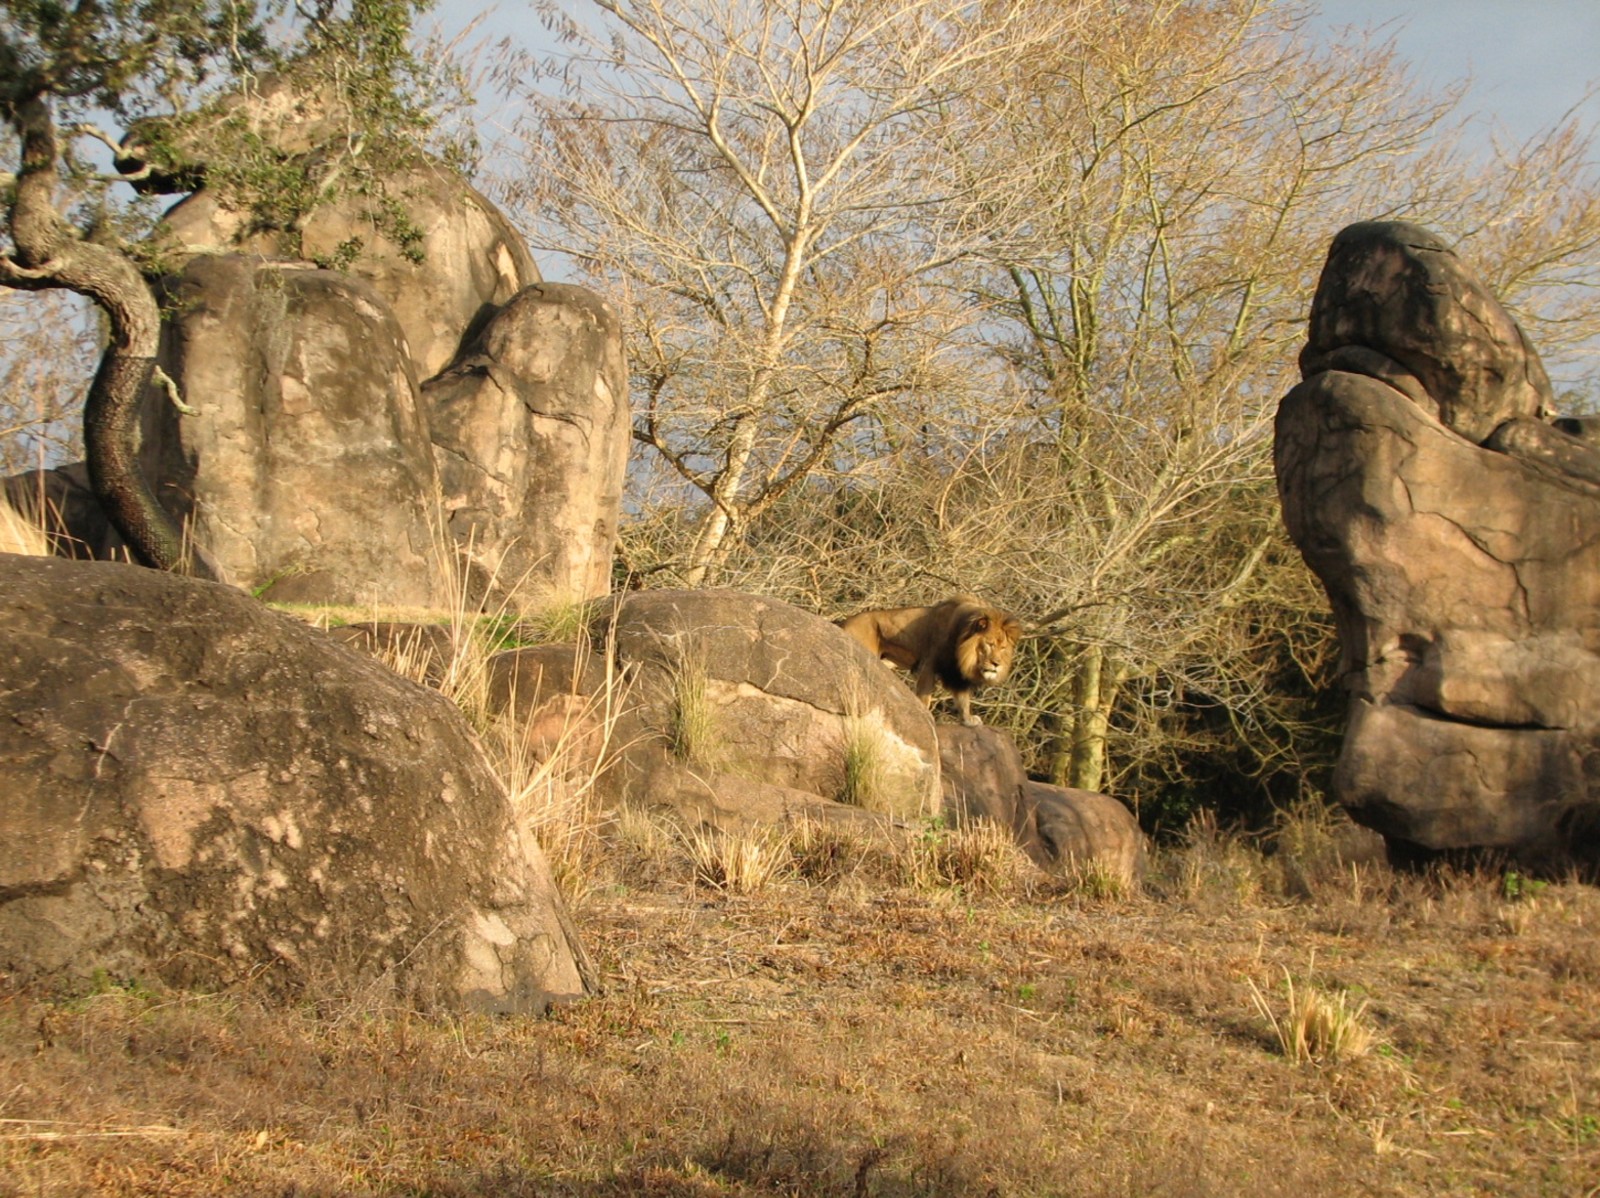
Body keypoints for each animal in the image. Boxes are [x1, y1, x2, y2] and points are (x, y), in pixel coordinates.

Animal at [839, 596, 1023, 726]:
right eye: (990, 644)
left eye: (1003, 648)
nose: (996, 664)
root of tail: (843, 622)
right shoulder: (929, 664)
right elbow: (925, 695)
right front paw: (926, 717)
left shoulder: (955, 673)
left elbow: (963, 700)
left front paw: (968, 720)